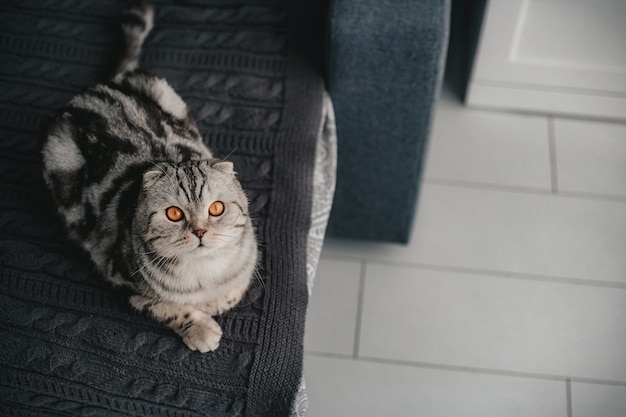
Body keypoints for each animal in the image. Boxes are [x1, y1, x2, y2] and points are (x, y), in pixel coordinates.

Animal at [40, 1, 256, 352]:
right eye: (174, 214)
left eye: (217, 208)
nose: (199, 231)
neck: (203, 275)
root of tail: (100, 86)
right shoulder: (124, 279)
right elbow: (169, 308)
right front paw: (201, 328)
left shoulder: (248, 260)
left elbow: (233, 292)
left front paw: (216, 303)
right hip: (59, 155)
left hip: (160, 88)